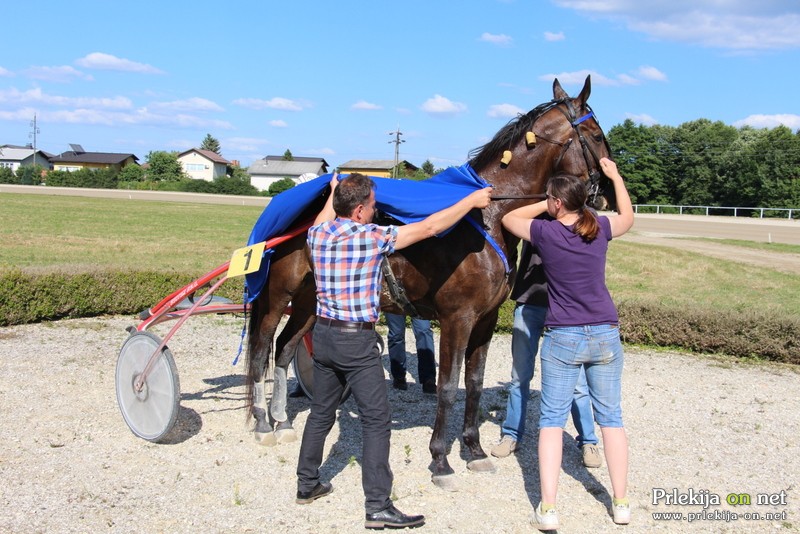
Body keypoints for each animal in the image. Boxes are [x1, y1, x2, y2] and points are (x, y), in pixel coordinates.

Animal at [244, 74, 612, 490]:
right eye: (597, 135)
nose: (607, 192)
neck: (487, 217)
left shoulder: (484, 321)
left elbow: (475, 383)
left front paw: (474, 450)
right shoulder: (457, 319)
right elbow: (448, 387)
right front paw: (440, 459)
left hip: (310, 300)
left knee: (285, 349)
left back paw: (283, 421)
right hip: (278, 295)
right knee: (261, 349)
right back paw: (263, 423)